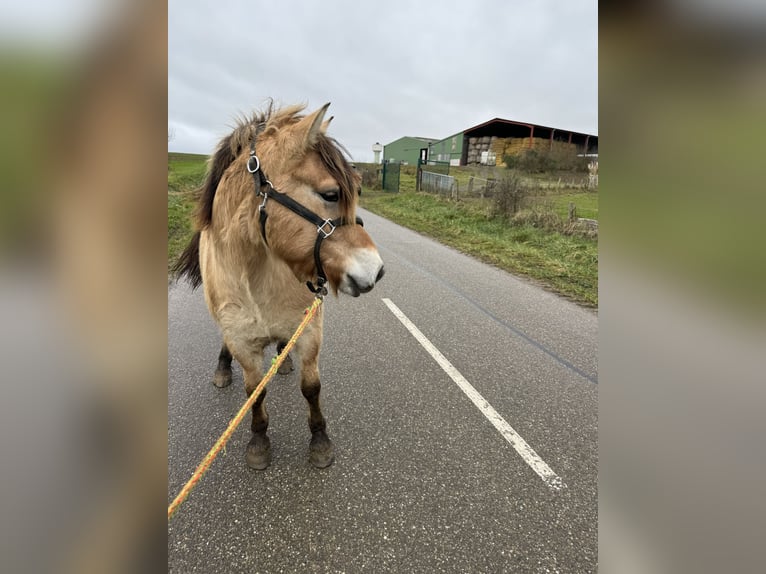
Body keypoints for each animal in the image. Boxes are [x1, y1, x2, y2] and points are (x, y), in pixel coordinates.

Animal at [177, 104, 388, 472]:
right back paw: (223, 368)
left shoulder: (310, 330)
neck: (257, 273)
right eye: (331, 194)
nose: (376, 271)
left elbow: (312, 387)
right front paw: (258, 441)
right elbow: (254, 393)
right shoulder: (243, 343)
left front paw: (320, 441)